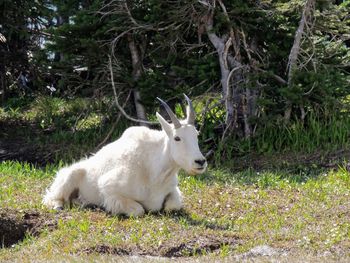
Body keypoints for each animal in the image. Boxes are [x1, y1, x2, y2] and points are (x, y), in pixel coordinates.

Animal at [43, 95, 208, 217]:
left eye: (197, 134)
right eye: (177, 138)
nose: (200, 162)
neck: (156, 172)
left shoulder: (173, 190)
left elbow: (172, 206)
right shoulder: (109, 189)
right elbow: (139, 210)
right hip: (69, 176)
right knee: (51, 198)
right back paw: (60, 205)